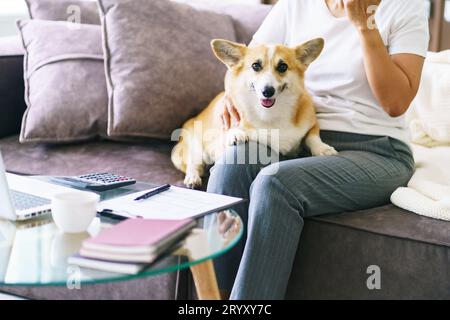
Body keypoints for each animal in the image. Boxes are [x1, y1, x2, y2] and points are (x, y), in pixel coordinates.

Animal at [172, 37, 338, 189]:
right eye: (255, 66)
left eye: (283, 67)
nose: (267, 91)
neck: (271, 113)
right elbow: (231, 131)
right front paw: (235, 133)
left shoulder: (312, 124)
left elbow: (312, 136)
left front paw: (323, 149)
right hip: (194, 145)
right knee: (193, 164)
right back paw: (193, 178)